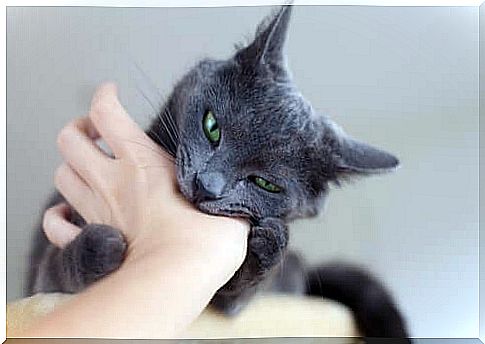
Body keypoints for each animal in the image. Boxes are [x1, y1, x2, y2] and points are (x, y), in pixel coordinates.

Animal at [28, 6, 410, 342]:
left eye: (266, 183)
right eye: (212, 126)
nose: (206, 185)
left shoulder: (231, 306)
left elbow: (235, 300)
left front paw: (270, 245)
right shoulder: (42, 286)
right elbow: (54, 271)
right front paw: (100, 247)